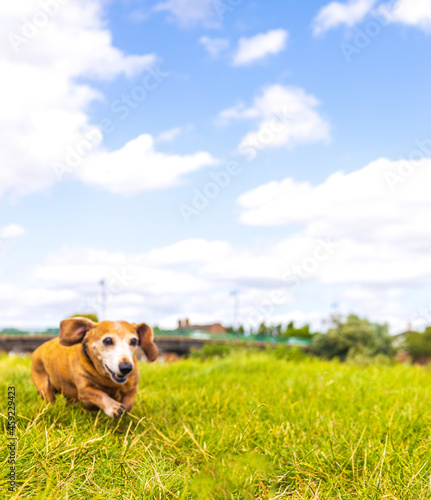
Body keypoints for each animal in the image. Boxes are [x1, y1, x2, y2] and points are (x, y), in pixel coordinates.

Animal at [31, 316, 159, 418]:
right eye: (108, 340)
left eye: (133, 341)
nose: (126, 368)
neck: (108, 380)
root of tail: (37, 350)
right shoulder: (85, 390)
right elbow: (100, 395)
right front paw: (113, 407)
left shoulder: (132, 388)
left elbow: (128, 403)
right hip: (45, 389)